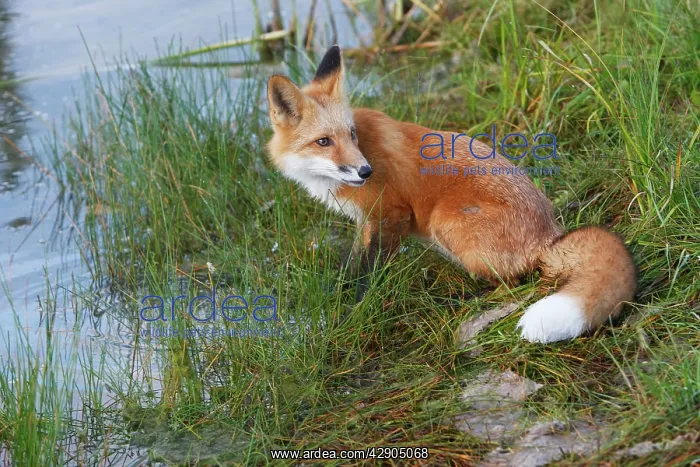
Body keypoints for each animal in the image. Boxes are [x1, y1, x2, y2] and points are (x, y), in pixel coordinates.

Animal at [265, 45, 637, 344]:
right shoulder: (365, 221)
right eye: (323, 141)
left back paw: (458, 301)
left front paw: (353, 312)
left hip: (446, 223)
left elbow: (369, 276)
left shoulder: (391, 213)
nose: (364, 171)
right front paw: (336, 294)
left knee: (512, 284)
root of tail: (551, 237)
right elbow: (352, 264)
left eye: (351, 134)